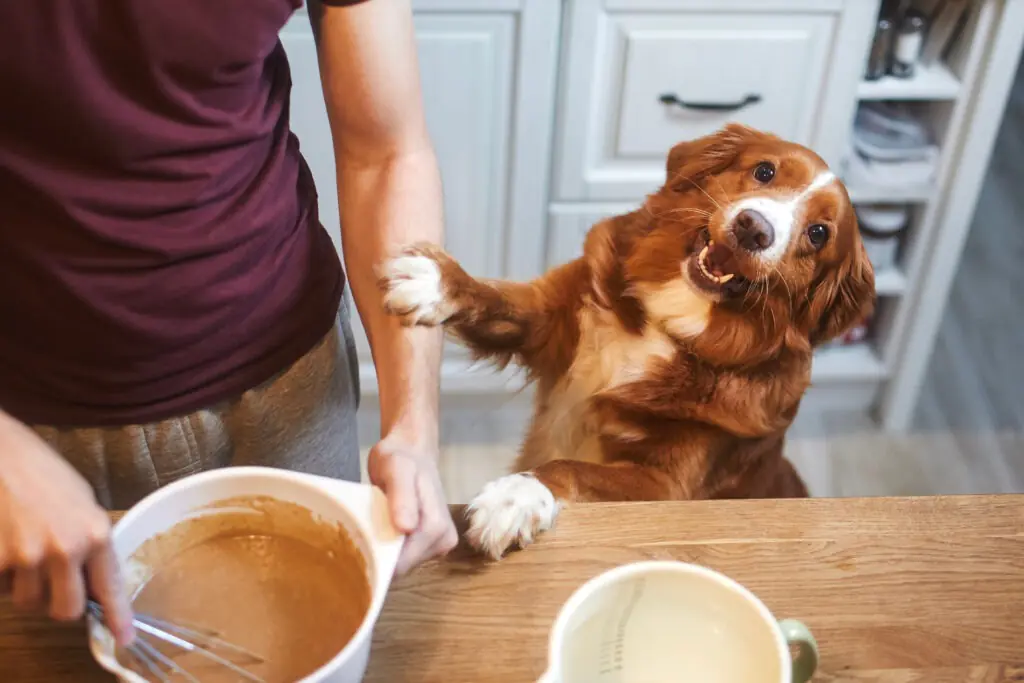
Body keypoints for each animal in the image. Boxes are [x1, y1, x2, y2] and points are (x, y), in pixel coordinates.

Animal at [380, 124, 876, 561]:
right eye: (765, 171)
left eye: (818, 234)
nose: (753, 228)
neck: (665, 326)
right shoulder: (549, 323)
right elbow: (495, 298)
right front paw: (438, 283)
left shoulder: (665, 484)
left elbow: (573, 469)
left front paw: (518, 495)